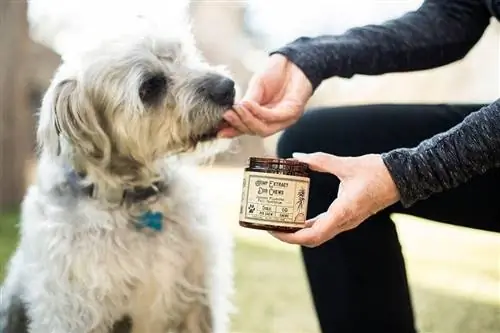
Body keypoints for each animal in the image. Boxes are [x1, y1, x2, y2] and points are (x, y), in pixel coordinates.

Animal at [0, 7, 236, 332]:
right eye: (150, 86)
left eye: (182, 53)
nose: (227, 88)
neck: (136, 202)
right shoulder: (73, 312)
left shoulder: (198, 301)